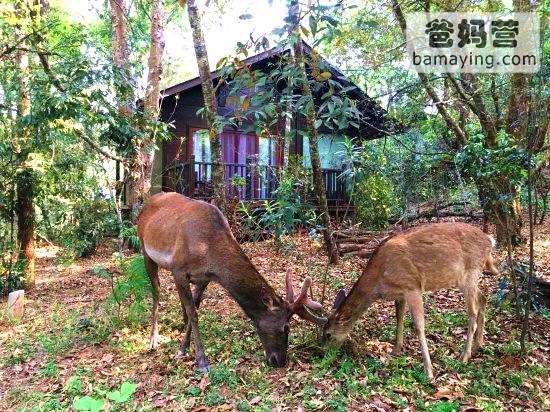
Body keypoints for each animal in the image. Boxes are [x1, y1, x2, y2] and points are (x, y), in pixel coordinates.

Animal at [138, 192, 328, 372]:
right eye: (286, 327)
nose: (280, 361)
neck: (208, 253)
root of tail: (147, 202)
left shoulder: (203, 278)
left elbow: (194, 308)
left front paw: (184, 345)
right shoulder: (178, 269)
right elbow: (194, 313)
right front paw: (201, 360)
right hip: (144, 248)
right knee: (156, 290)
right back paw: (153, 340)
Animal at [324, 222, 500, 380]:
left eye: (328, 334)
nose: (323, 353)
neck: (379, 279)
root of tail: (490, 240)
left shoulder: (412, 286)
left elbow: (419, 326)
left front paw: (429, 372)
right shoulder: (400, 292)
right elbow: (399, 316)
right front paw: (396, 349)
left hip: (471, 272)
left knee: (472, 312)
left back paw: (464, 356)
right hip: (466, 279)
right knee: (483, 297)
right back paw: (478, 345)